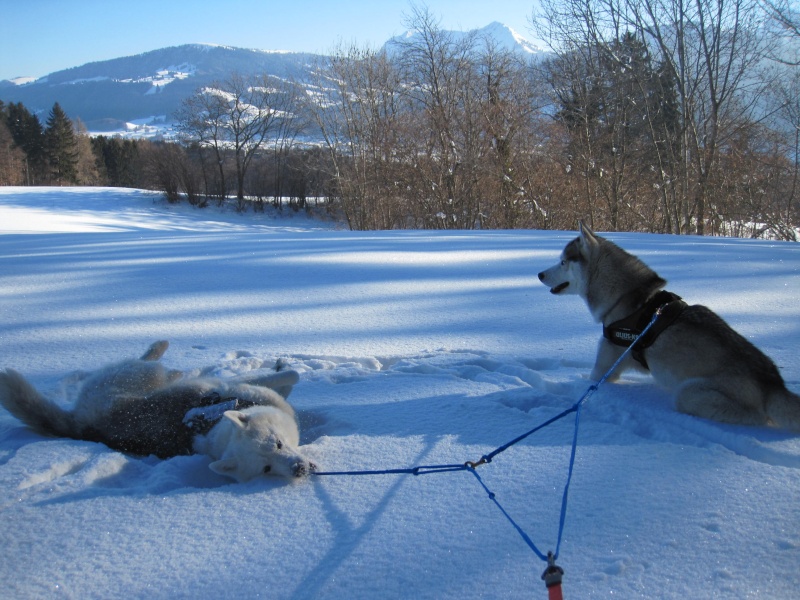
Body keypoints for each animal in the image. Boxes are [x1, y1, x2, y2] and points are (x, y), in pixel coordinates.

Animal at [0, 342, 316, 482]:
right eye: (266, 469)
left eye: (278, 444)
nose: (299, 470)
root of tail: (82, 426)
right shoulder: (242, 388)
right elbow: (291, 376)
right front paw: (284, 368)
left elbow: (286, 382)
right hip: (136, 374)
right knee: (147, 362)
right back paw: (160, 352)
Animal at [536, 221, 800, 432]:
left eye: (562, 262)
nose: (539, 274)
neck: (624, 298)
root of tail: (772, 383)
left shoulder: (606, 367)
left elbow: (588, 380)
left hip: (688, 393)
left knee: (755, 418)